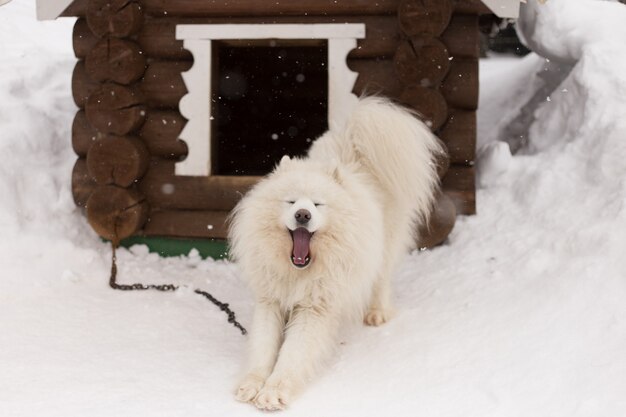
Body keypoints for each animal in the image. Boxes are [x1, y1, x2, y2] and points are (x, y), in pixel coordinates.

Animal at [228, 95, 438, 410]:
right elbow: (263, 349)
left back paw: (376, 313)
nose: (302, 215)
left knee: (381, 279)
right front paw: (252, 385)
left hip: (383, 246)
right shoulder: (271, 300)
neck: (297, 272)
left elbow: (292, 354)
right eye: (291, 201)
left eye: (317, 204)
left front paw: (273, 392)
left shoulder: (313, 308)